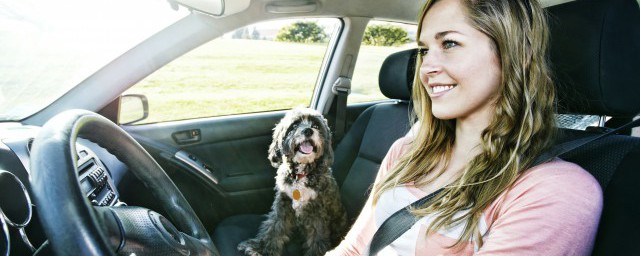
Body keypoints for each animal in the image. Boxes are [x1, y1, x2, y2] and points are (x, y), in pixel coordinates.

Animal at [238, 108, 348, 256]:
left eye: (316, 126)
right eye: (295, 125)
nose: (308, 131)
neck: (301, 175)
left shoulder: (317, 211)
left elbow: (316, 238)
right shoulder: (283, 204)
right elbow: (274, 227)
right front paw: (261, 249)